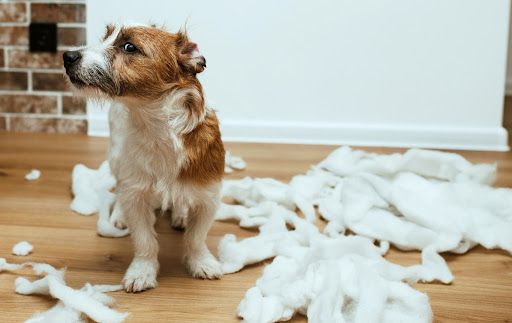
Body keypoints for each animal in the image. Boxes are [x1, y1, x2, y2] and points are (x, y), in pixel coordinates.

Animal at [63, 23, 225, 294]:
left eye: (129, 47)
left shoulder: (208, 197)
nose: (67, 56)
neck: (156, 129)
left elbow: (196, 237)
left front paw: (201, 263)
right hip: (116, 156)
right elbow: (144, 240)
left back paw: (180, 214)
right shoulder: (136, 195)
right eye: (105, 36)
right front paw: (142, 271)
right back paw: (119, 215)